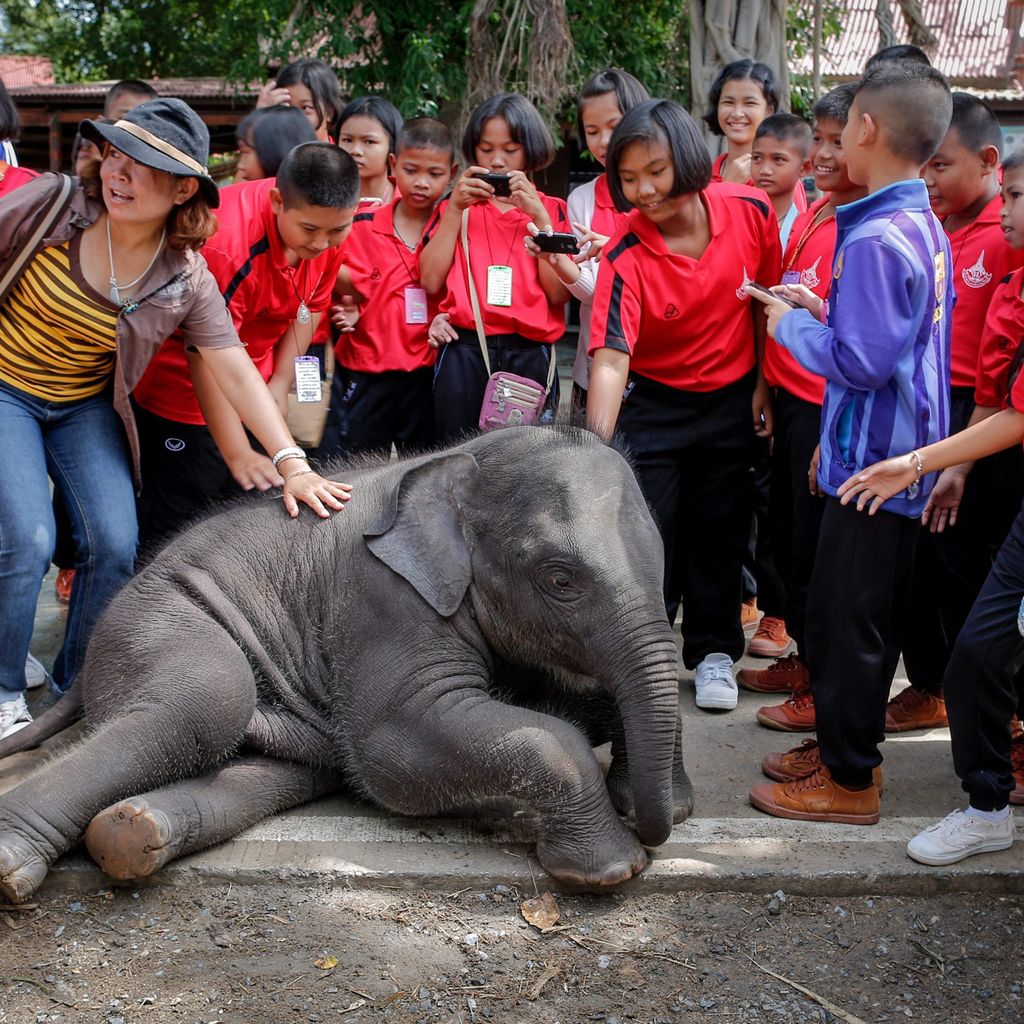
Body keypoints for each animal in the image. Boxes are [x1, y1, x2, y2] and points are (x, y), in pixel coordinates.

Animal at [0, 425, 696, 905]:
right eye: (560, 579)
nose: (656, 830)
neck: (460, 461)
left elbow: (580, 702)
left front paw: (662, 801)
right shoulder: (381, 598)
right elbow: (397, 748)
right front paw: (612, 871)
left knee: (273, 769)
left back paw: (129, 833)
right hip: (155, 622)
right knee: (207, 699)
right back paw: (15, 868)